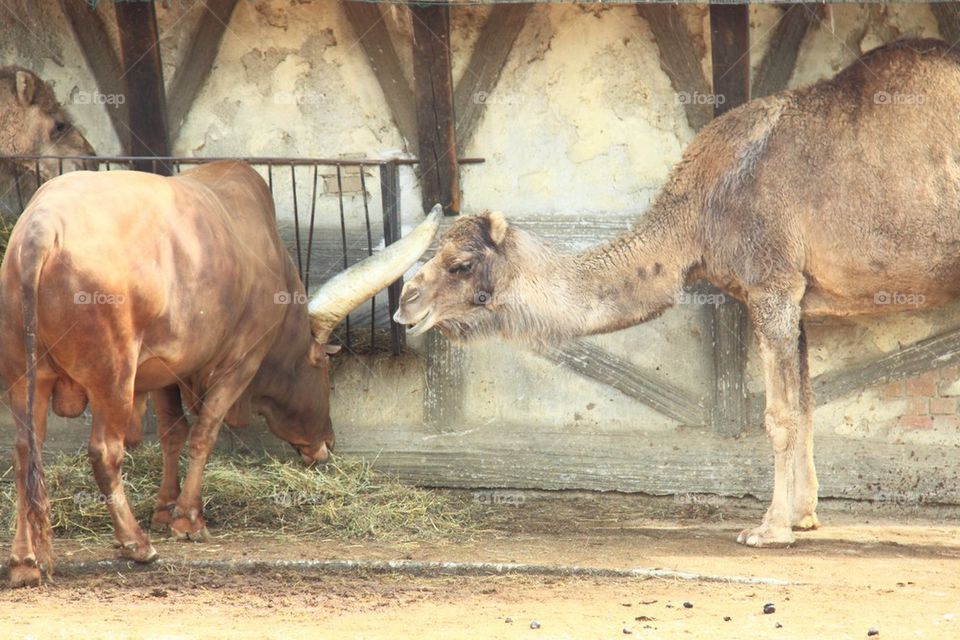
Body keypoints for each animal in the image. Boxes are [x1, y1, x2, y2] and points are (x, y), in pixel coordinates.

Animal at [0, 161, 441, 587]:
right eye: (323, 367)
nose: (327, 443)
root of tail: (41, 227)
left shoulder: (166, 368)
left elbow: (173, 433)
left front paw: (165, 507)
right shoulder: (240, 362)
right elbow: (204, 433)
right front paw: (187, 519)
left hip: (25, 378)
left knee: (24, 452)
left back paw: (25, 561)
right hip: (113, 378)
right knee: (104, 452)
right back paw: (134, 544)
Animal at [394, 38, 960, 547]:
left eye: (460, 264)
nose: (405, 300)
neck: (697, 212)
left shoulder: (771, 283)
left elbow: (778, 415)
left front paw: (769, 530)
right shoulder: (797, 296)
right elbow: (804, 405)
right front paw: (803, 517)